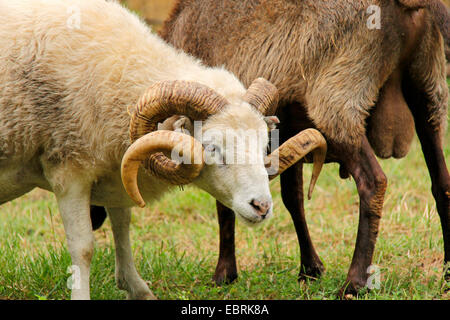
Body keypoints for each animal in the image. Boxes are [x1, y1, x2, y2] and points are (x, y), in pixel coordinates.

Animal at [162, 0, 450, 298]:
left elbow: (225, 205)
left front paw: (224, 274)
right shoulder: (288, 131)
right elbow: (293, 199)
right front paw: (310, 269)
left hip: (338, 102)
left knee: (373, 182)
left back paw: (354, 282)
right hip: (428, 91)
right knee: (442, 183)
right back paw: (447, 273)